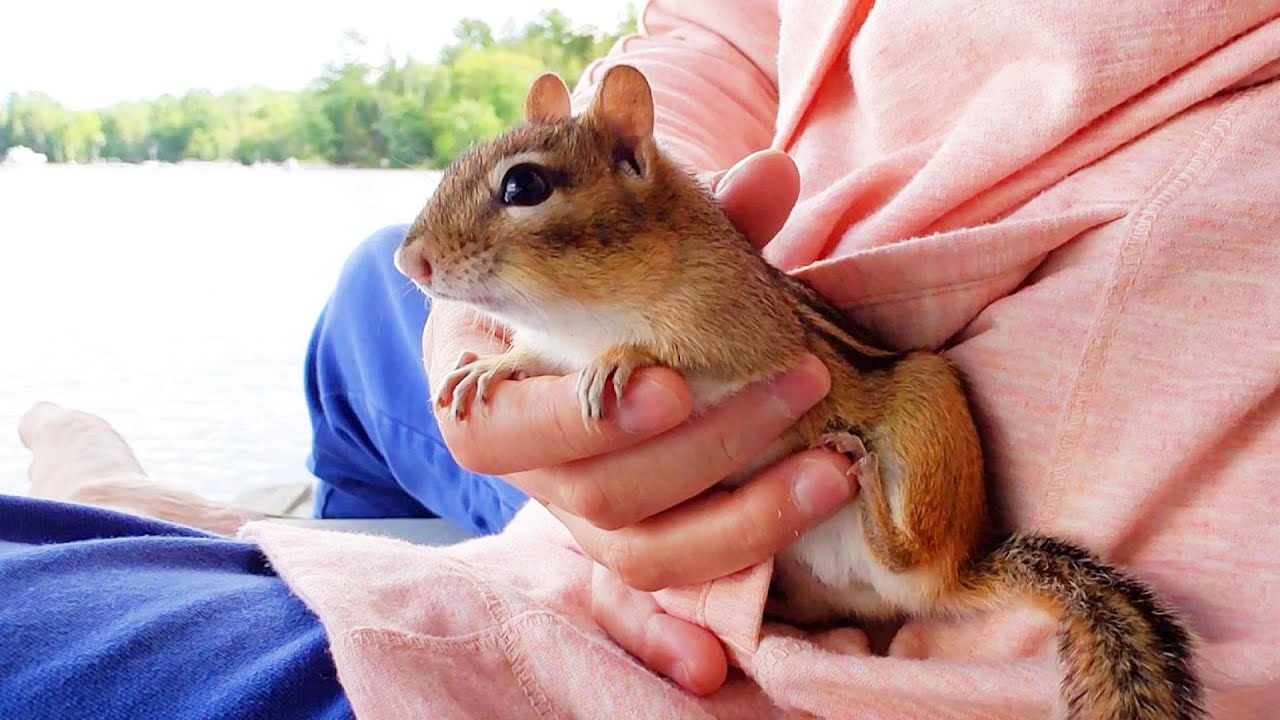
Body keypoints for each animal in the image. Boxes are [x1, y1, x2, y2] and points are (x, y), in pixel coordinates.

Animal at [393, 65, 1204, 720]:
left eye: (523, 185)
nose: (410, 261)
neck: (580, 314)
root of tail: (967, 571)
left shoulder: (743, 332)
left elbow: (687, 354)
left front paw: (620, 360)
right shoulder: (559, 342)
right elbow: (533, 355)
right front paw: (489, 367)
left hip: (928, 412)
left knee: (910, 555)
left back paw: (866, 479)